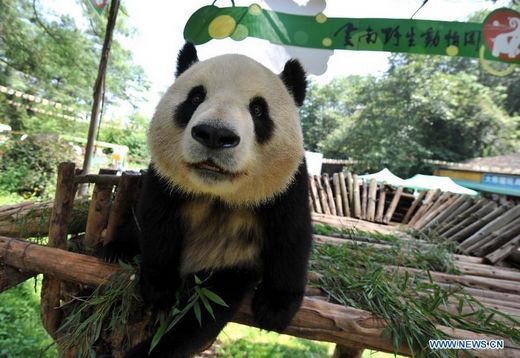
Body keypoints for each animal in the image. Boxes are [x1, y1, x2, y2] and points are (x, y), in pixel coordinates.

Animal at [109, 43, 310, 356]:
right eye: (195, 97)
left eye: (258, 109)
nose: (215, 134)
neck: (217, 192)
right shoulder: (164, 179)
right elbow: (156, 221)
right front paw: (159, 288)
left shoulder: (287, 185)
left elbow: (291, 235)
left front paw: (275, 308)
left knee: (204, 311)